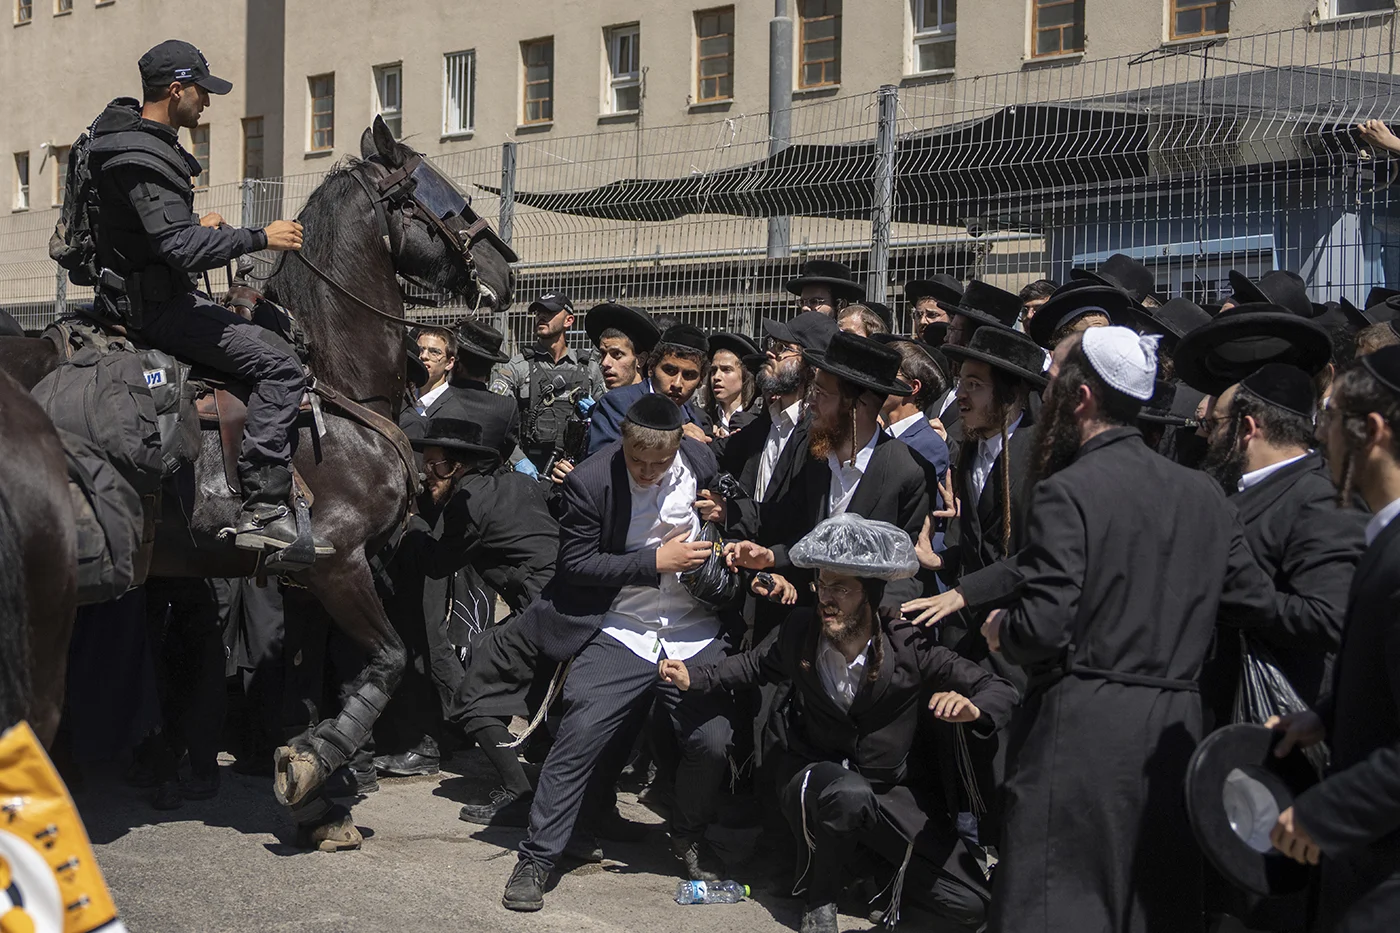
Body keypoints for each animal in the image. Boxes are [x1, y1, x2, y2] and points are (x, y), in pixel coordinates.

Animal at [0, 116, 515, 840]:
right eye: (440, 195)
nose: (505, 266)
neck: (332, 378)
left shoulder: (307, 579)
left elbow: (308, 684)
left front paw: (322, 800)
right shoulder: (338, 562)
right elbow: (384, 662)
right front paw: (314, 763)